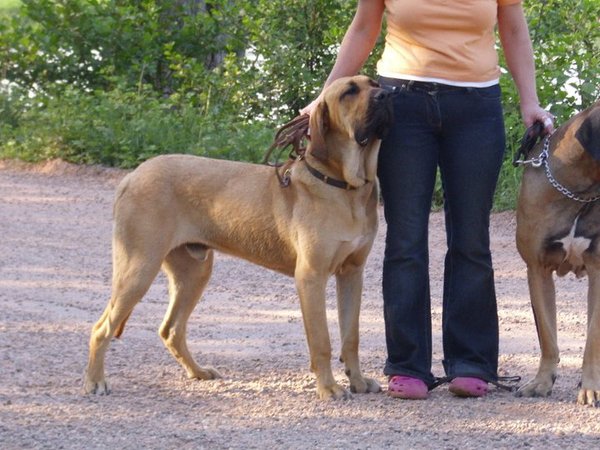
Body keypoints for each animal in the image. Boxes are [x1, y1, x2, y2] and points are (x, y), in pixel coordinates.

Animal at [84, 75, 394, 400]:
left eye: (373, 82)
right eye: (349, 92)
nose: (388, 95)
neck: (345, 185)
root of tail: (132, 177)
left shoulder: (352, 274)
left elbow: (351, 336)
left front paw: (358, 381)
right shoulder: (311, 276)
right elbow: (321, 340)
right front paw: (329, 387)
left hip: (194, 271)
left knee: (171, 330)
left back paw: (198, 372)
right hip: (139, 268)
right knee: (102, 327)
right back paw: (95, 381)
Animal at [516, 100, 600, 406]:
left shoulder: (598, 270)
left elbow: (593, 338)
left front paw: (590, 387)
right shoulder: (537, 269)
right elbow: (547, 335)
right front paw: (541, 382)